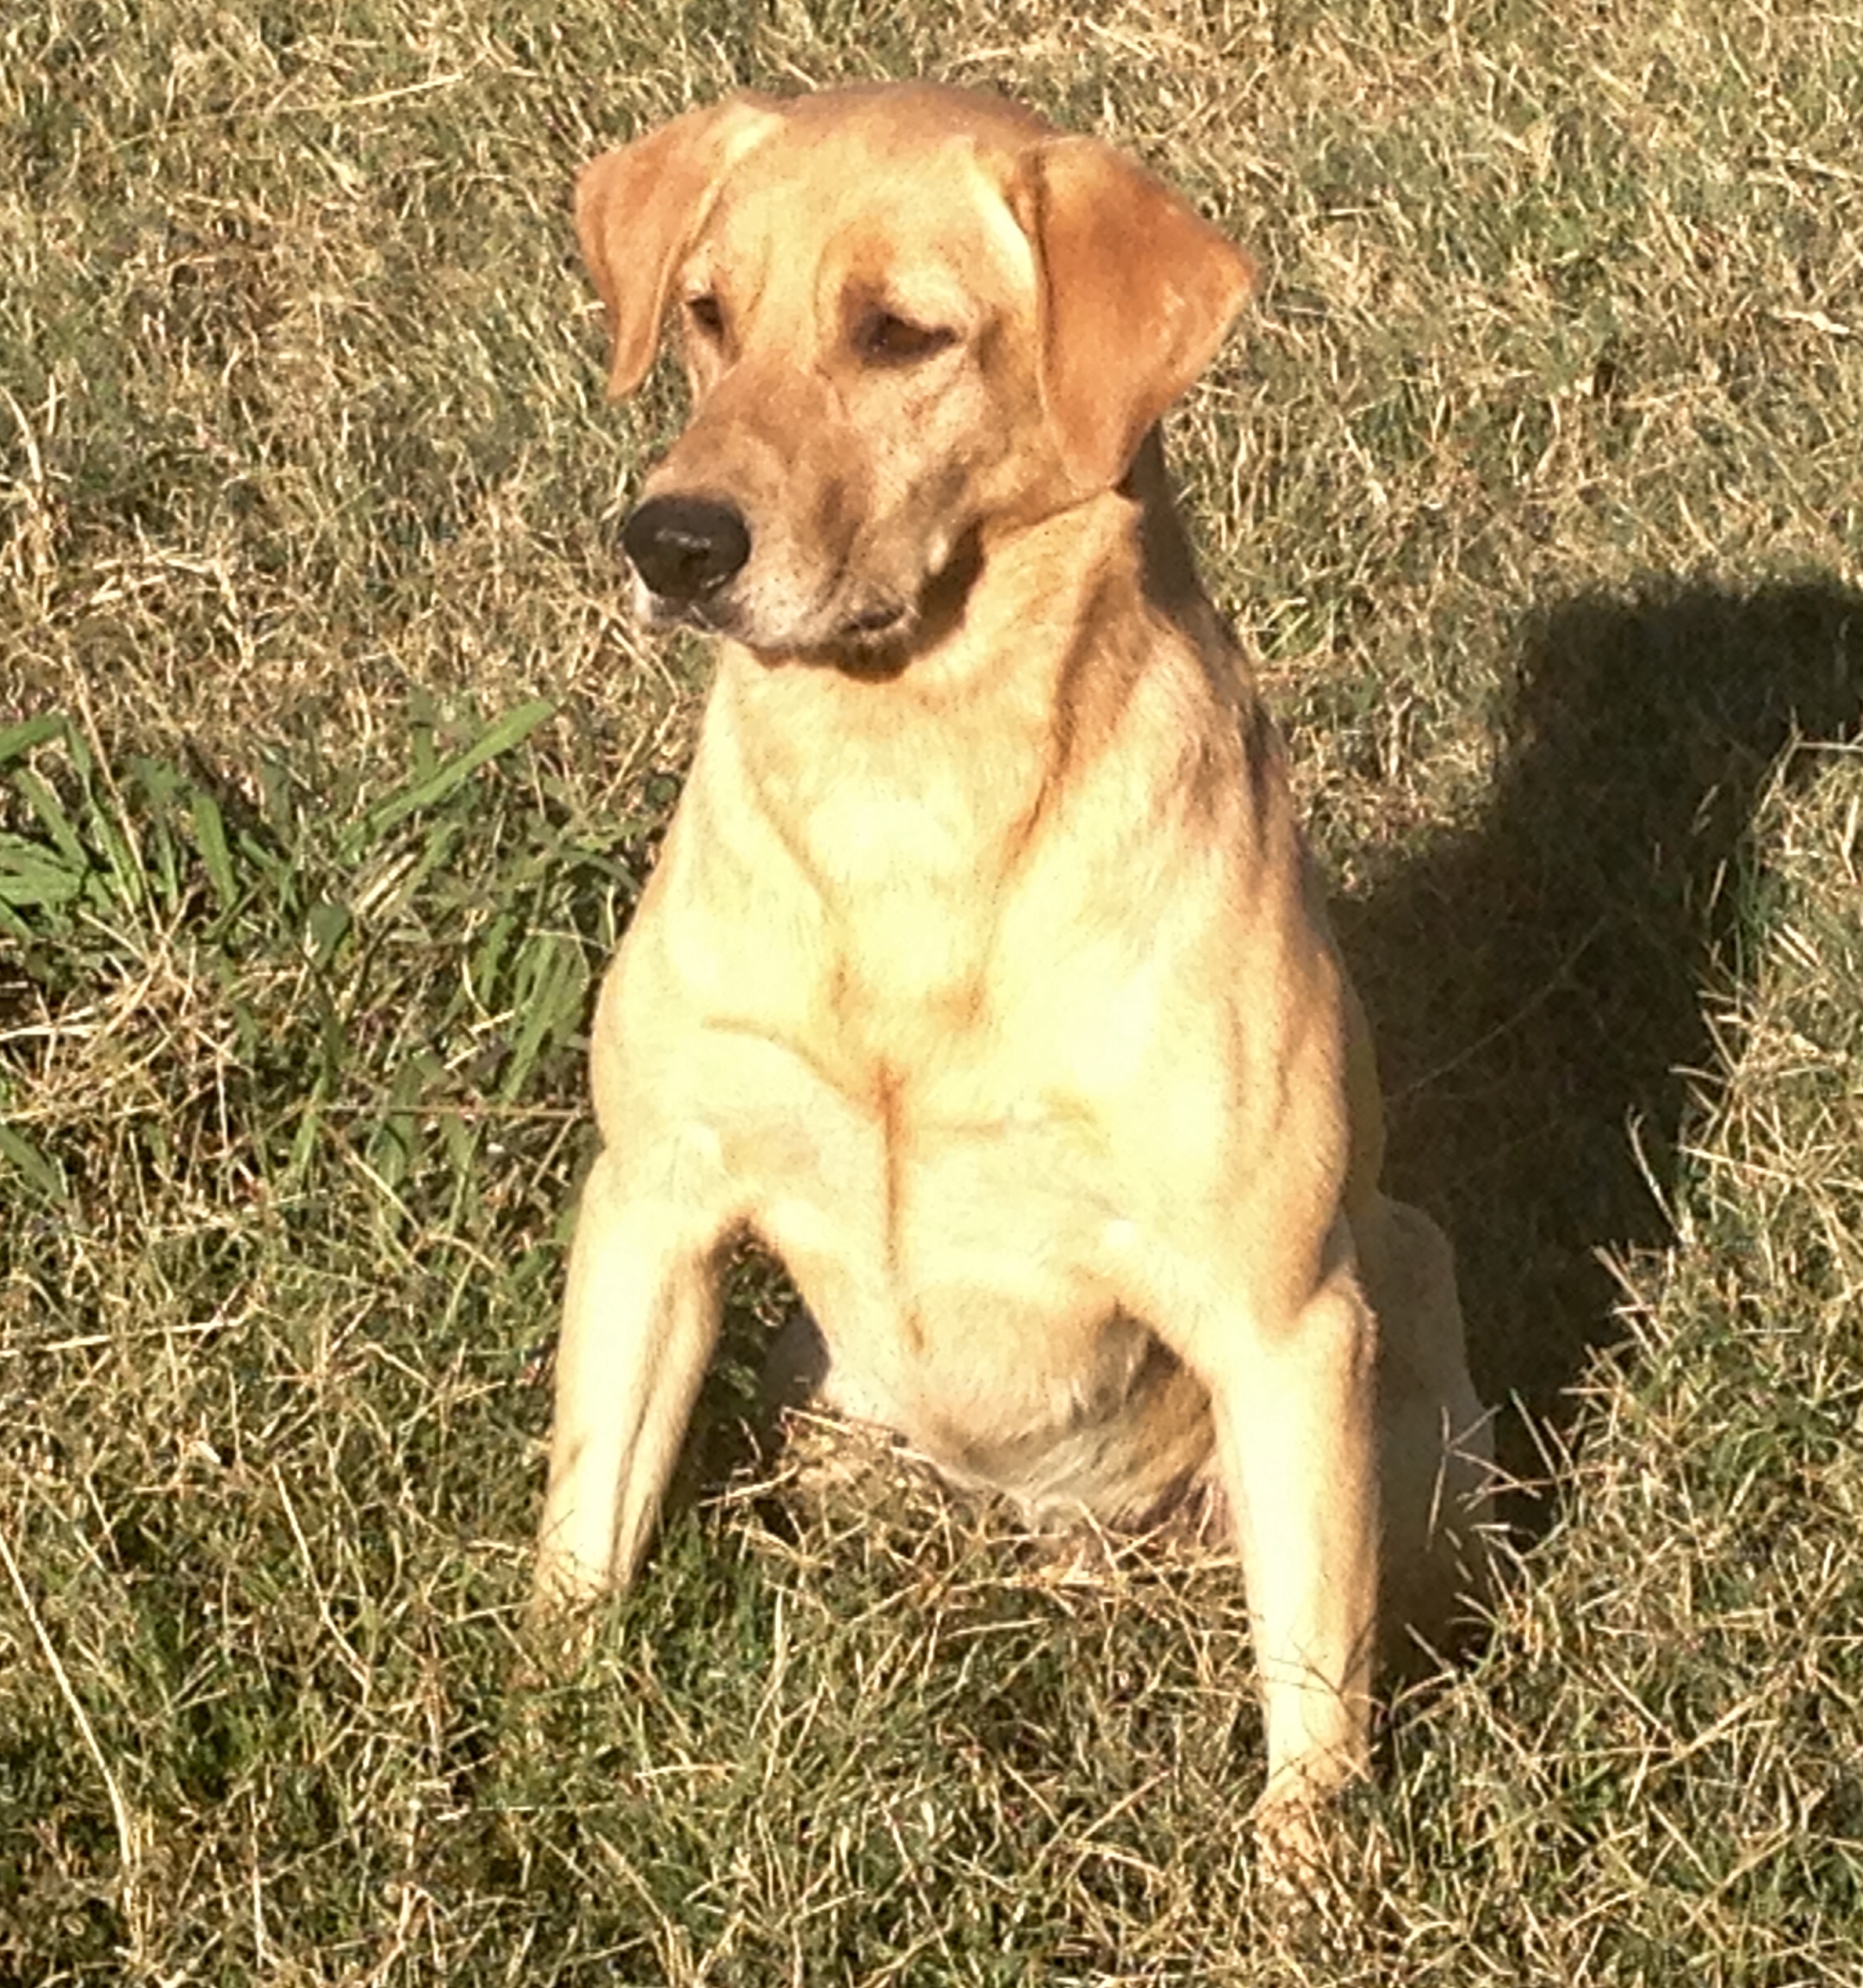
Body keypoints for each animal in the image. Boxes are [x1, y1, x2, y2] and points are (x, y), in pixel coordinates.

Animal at [528, 81, 1487, 1877]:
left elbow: (1313, 1696)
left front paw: (1306, 1882)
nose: (672, 540)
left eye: (903, 334)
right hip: (835, 1415)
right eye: (706, 315)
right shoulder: (656, 1198)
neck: (908, 793)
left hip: (1399, 1327)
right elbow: (583, 1525)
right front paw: (530, 1736)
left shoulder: (1283, 1315)